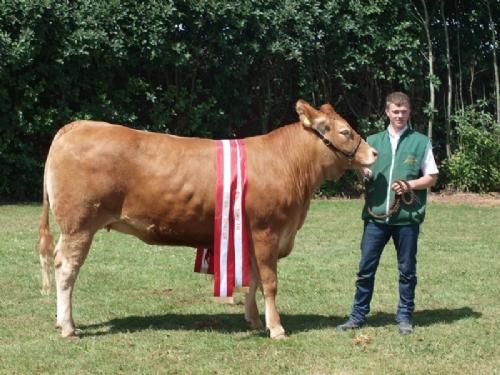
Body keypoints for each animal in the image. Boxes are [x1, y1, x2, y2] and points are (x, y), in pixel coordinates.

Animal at [38, 100, 376, 340]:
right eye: (345, 132)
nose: (373, 153)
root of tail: (76, 126)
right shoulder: (266, 230)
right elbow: (269, 281)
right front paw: (277, 328)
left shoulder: (251, 234)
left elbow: (253, 278)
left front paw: (254, 320)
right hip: (78, 225)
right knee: (66, 269)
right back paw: (68, 326)